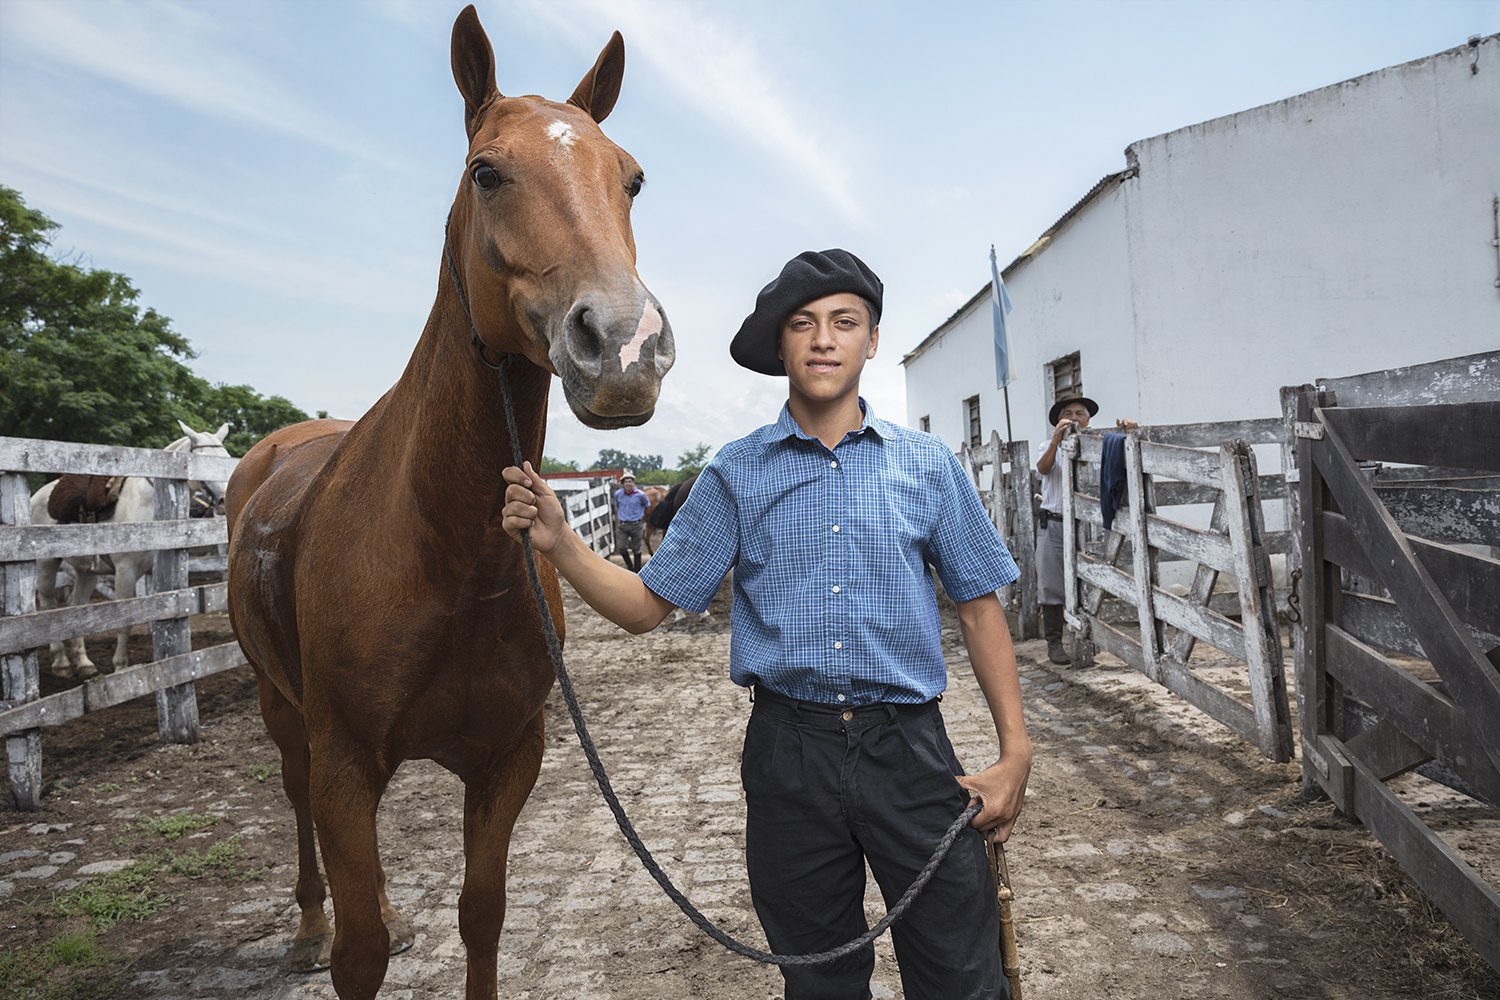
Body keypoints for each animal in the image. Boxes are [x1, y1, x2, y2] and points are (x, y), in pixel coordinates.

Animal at [31, 420, 232, 677]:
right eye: (202, 461)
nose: (224, 501)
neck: (150, 502)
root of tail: (37, 496)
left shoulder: (155, 572)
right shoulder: (125, 572)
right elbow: (126, 620)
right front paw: (120, 666)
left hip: (87, 572)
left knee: (76, 608)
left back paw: (84, 663)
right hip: (46, 563)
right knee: (48, 603)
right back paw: (61, 662)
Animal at [223, 9, 673, 998]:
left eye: (632, 177)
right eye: (486, 172)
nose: (625, 347)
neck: (443, 548)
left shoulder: (507, 758)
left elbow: (482, 915)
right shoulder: (347, 764)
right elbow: (358, 954)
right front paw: (341, 934)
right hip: (286, 714)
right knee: (298, 803)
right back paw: (306, 923)